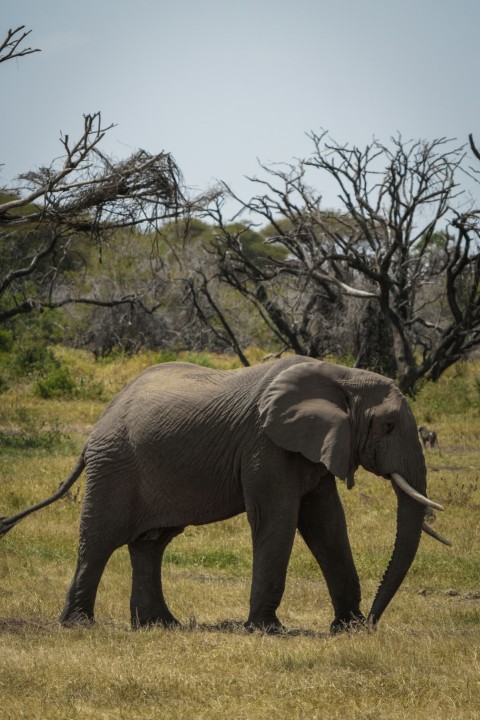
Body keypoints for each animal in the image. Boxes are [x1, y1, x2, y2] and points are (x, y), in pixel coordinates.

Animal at [0, 357, 451, 632]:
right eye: (389, 426)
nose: (372, 622)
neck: (342, 375)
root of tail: (98, 423)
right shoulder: (264, 444)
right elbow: (278, 519)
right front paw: (267, 630)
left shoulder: (315, 445)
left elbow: (327, 525)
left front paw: (347, 628)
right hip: (113, 465)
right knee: (99, 540)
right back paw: (79, 624)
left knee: (150, 543)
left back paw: (160, 625)